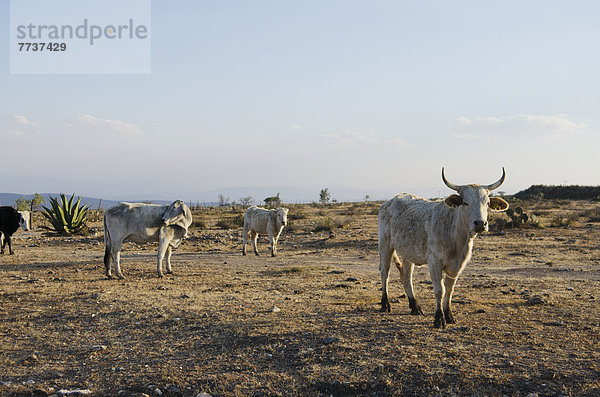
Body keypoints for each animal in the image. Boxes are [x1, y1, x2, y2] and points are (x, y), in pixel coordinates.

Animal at [378, 167, 508, 328]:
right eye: (465, 203)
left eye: (487, 203)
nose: (480, 223)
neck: (457, 239)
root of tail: (390, 201)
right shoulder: (434, 262)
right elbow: (439, 290)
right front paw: (439, 318)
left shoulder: (458, 265)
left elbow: (449, 290)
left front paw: (449, 315)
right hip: (385, 244)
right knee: (385, 272)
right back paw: (385, 304)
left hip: (408, 252)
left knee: (406, 275)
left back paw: (415, 306)